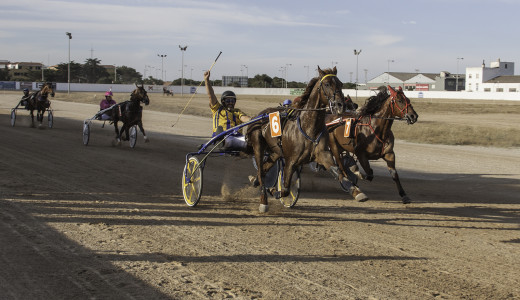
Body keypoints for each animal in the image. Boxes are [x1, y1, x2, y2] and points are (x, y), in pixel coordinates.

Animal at [246, 67, 368, 212]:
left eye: (341, 84)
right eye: (327, 84)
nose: (340, 105)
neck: (309, 127)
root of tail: (259, 115)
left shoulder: (323, 154)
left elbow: (337, 171)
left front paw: (356, 191)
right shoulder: (291, 161)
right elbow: (285, 189)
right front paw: (276, 192)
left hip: (275, 152)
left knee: (264, 169)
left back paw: (255, 181)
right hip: (258, 145)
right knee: (260, 171)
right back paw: (264, 201)